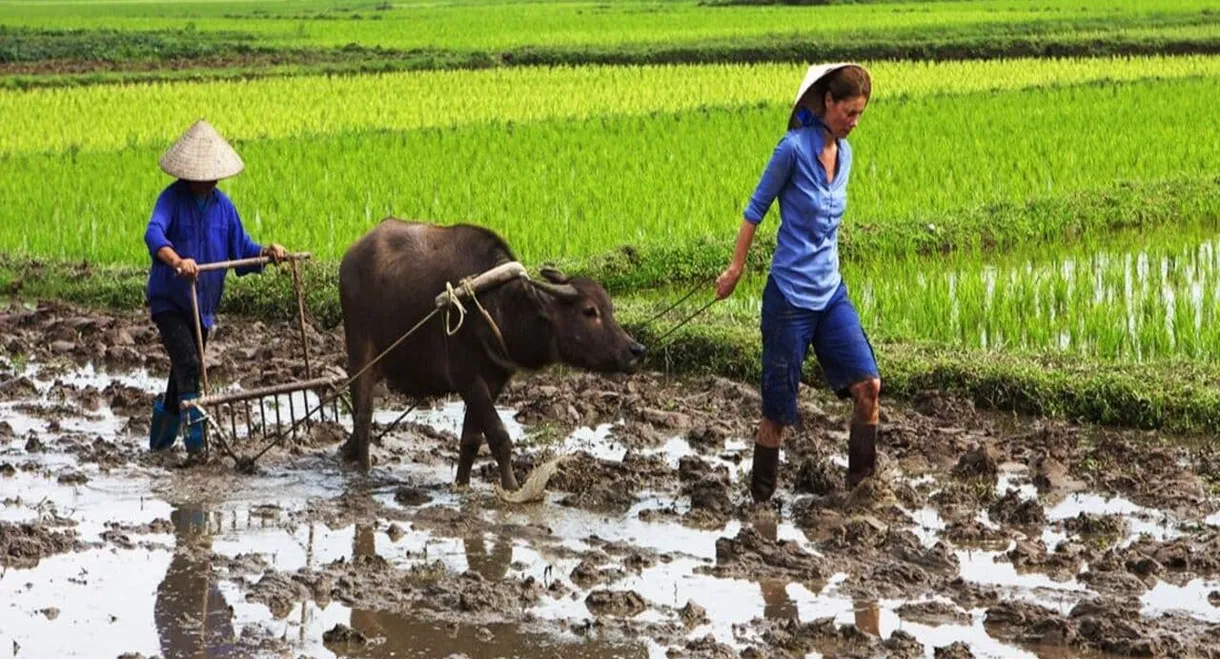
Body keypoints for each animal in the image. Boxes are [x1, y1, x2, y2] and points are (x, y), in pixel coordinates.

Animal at [334, 218, 639, 485]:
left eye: (609, 308)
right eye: (589, 311)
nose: (636, 350)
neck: (499, 307)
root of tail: (351, 255)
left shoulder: (493, 381)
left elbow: (471, 440)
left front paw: (462, 485)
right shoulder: (467, 378)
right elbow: (498, 436)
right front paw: (512, 488)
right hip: (360, 353)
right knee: (364, 418)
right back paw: (364, 473)